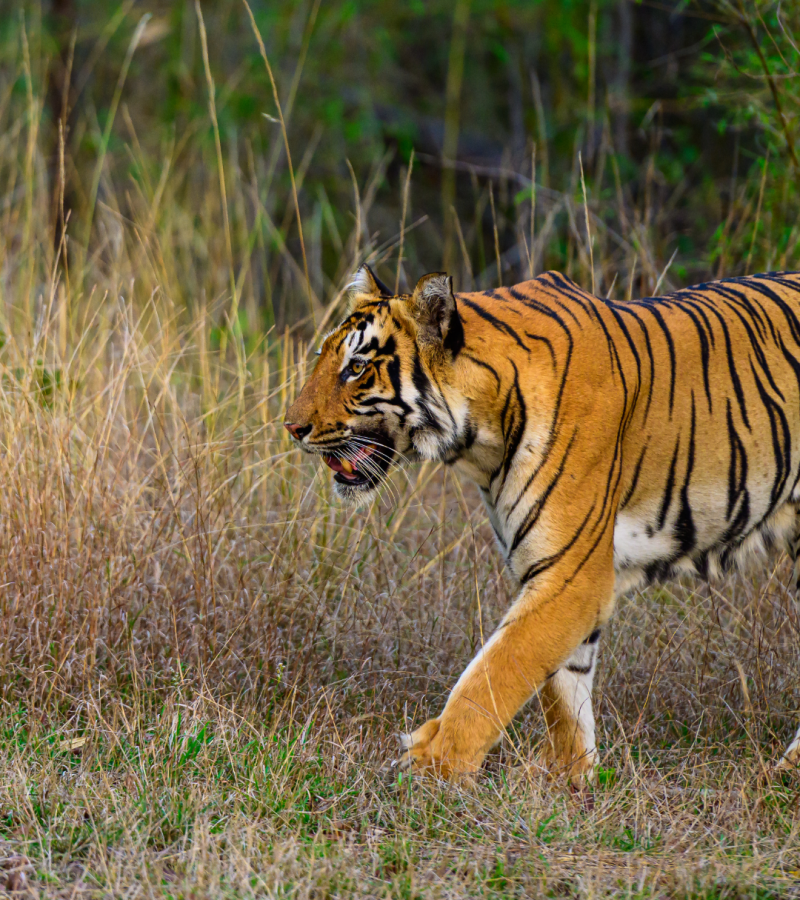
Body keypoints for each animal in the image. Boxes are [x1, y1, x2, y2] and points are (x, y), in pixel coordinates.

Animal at [284, 264, 800, 782]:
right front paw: (571, 778)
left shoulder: (573, 575)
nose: (291, 427)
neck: (480, 444)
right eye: (324, 358)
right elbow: (563, 687)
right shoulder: (550, 567)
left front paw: (434, 764)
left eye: (356, 367)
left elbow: (496, 671)